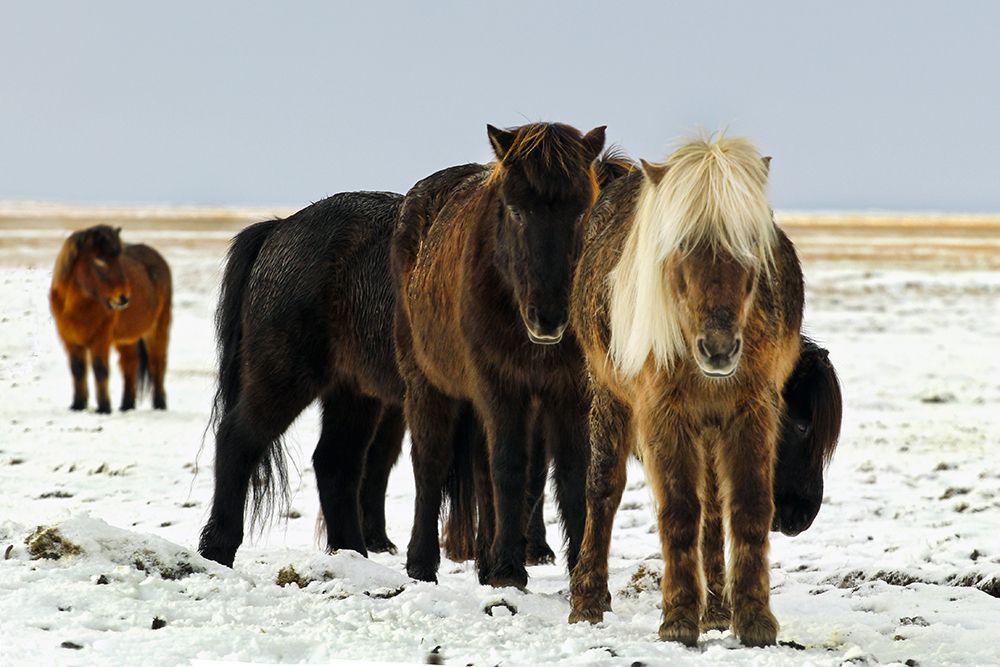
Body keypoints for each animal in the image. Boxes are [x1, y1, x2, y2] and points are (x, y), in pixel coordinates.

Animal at [50, 225, 171, 414]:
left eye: (119, 260)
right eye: (99, 261)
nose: (123, 297)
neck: (78, 306)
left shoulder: (101, 339)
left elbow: (100, 369)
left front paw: (104, 408)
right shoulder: (70, 340)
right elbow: (78, 370)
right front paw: (78, 405)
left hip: (158, 328)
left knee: (157, 364)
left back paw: (159, 405)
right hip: (126, 339)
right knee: (130, 364)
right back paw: (126, 406)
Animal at [392, 121, 606, 588]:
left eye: (580, 211)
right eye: (516, 210)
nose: (549, 318)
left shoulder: (571, 393)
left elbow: (571, 475)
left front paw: (581, 571)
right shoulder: (501, 387)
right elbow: (508, 468)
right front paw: (509, 569)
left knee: (478, 470)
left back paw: (484, 560)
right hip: (427, 385)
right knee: (430, 465)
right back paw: (422, 563)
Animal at [568, 135, 803, 647]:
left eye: (750, 243)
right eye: (681, 246)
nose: (718, 349)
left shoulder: (753, 409)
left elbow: (749, 505)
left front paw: (754, 618)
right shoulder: (663, 412)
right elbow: (678, 510)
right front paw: (677, 618)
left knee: (714, 507)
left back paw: (716, 608)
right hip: (609, 400)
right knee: (604, 488)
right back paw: (587, 601)